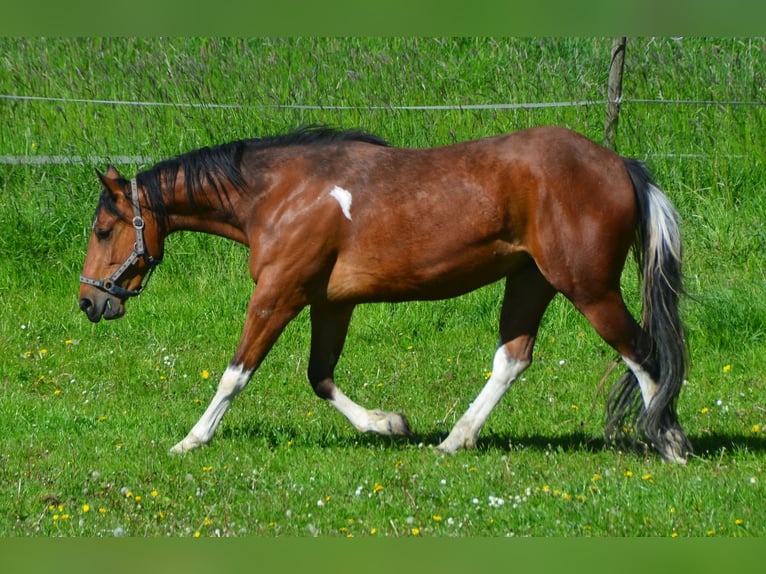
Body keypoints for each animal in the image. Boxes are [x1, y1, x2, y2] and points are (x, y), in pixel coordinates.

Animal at [79, 126, 696, 464]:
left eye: (104, 230)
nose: (90, 302)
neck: (279, 193)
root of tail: (621, 166)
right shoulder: (331, 303)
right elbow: (320, 377)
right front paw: (390, 424)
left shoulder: (279, 294)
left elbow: (236, 372)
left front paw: (191, 440)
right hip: (531, 281)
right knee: (513, 359)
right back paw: (454, 440)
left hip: (588, 288)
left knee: (642, 353)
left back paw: (670, 443)